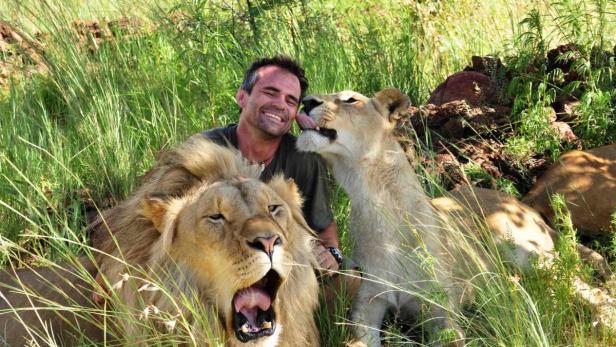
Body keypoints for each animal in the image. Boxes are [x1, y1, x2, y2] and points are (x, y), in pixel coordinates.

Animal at [298, 88, 616, 346]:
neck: (373, 200)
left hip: (524, 250)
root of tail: (521, 203)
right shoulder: (367, 305)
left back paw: (602, 325)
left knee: (592, 290)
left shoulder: (443, 311)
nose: (306, 101)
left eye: (351, 100)